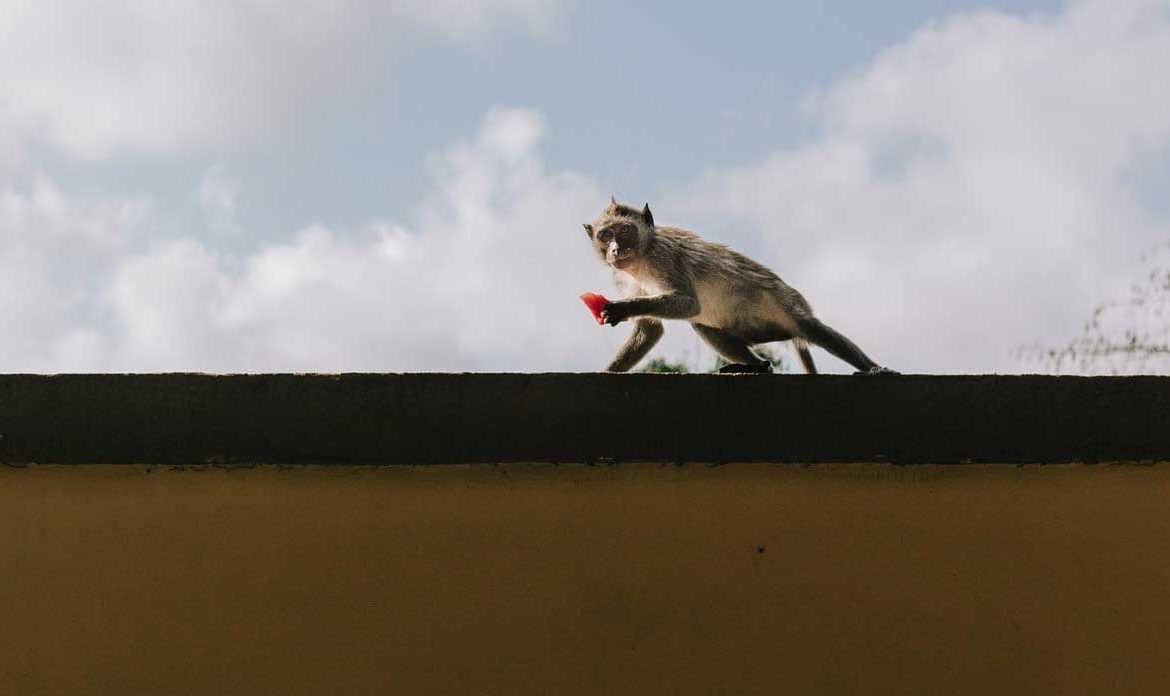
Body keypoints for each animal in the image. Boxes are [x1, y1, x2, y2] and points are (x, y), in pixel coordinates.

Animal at [582, 196, 893, 376]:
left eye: (625, 231)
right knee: (704, 324)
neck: (641, 260)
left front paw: (621, 309)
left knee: (811, 327)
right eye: (605, 235)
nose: (615, 250)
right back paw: (758, 366)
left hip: (787, 302)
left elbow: (688, 302)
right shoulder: (622, 277)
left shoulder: (662, 256)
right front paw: (608, 370)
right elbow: (650, 329)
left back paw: (873, 368)